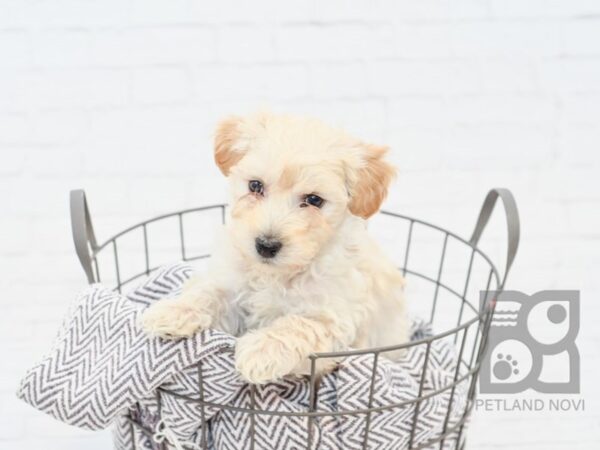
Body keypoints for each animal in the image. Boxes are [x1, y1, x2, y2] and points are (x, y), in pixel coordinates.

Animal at [143, 111, 410, 384]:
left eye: (314, 200)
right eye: (255, 186)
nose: (266, 246)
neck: (275, 274)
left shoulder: (333, 317)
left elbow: (298, 325)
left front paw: (261, 350)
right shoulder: (232, 282)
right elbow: (210, 291)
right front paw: (174, 310)